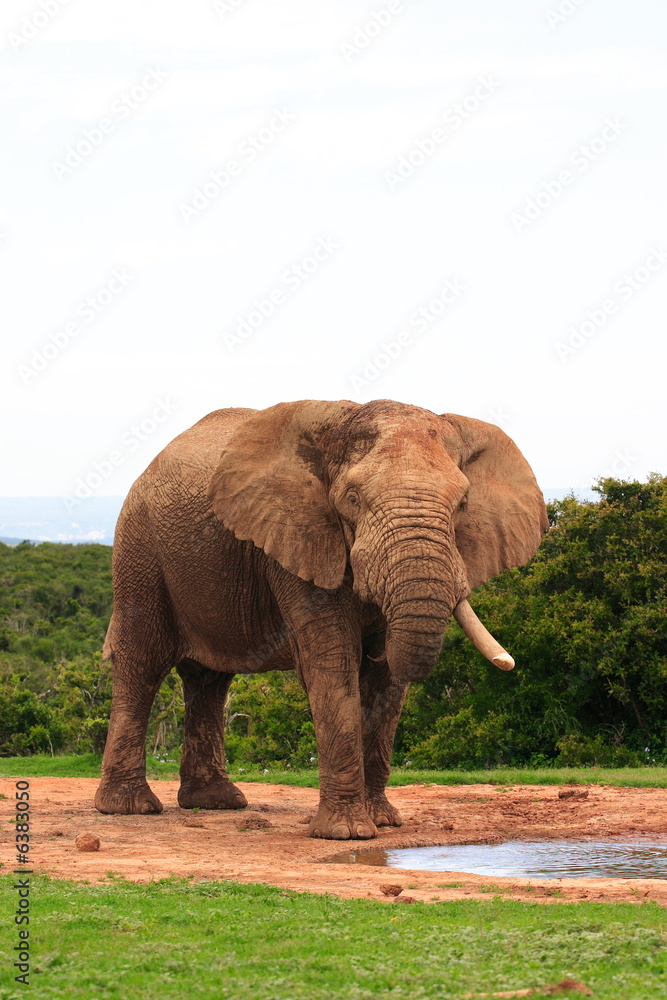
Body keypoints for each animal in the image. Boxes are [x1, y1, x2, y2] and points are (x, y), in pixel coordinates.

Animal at [95, 398, 548, 840]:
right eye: (352, 499)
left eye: (463, 504)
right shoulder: (299, 537)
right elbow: (332, 663)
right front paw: (346, 833)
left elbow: (386, 682)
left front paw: (383, 822)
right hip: (139, 548)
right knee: (143, 663)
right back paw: (129, 807)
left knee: (209, 680)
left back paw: (216, 803)